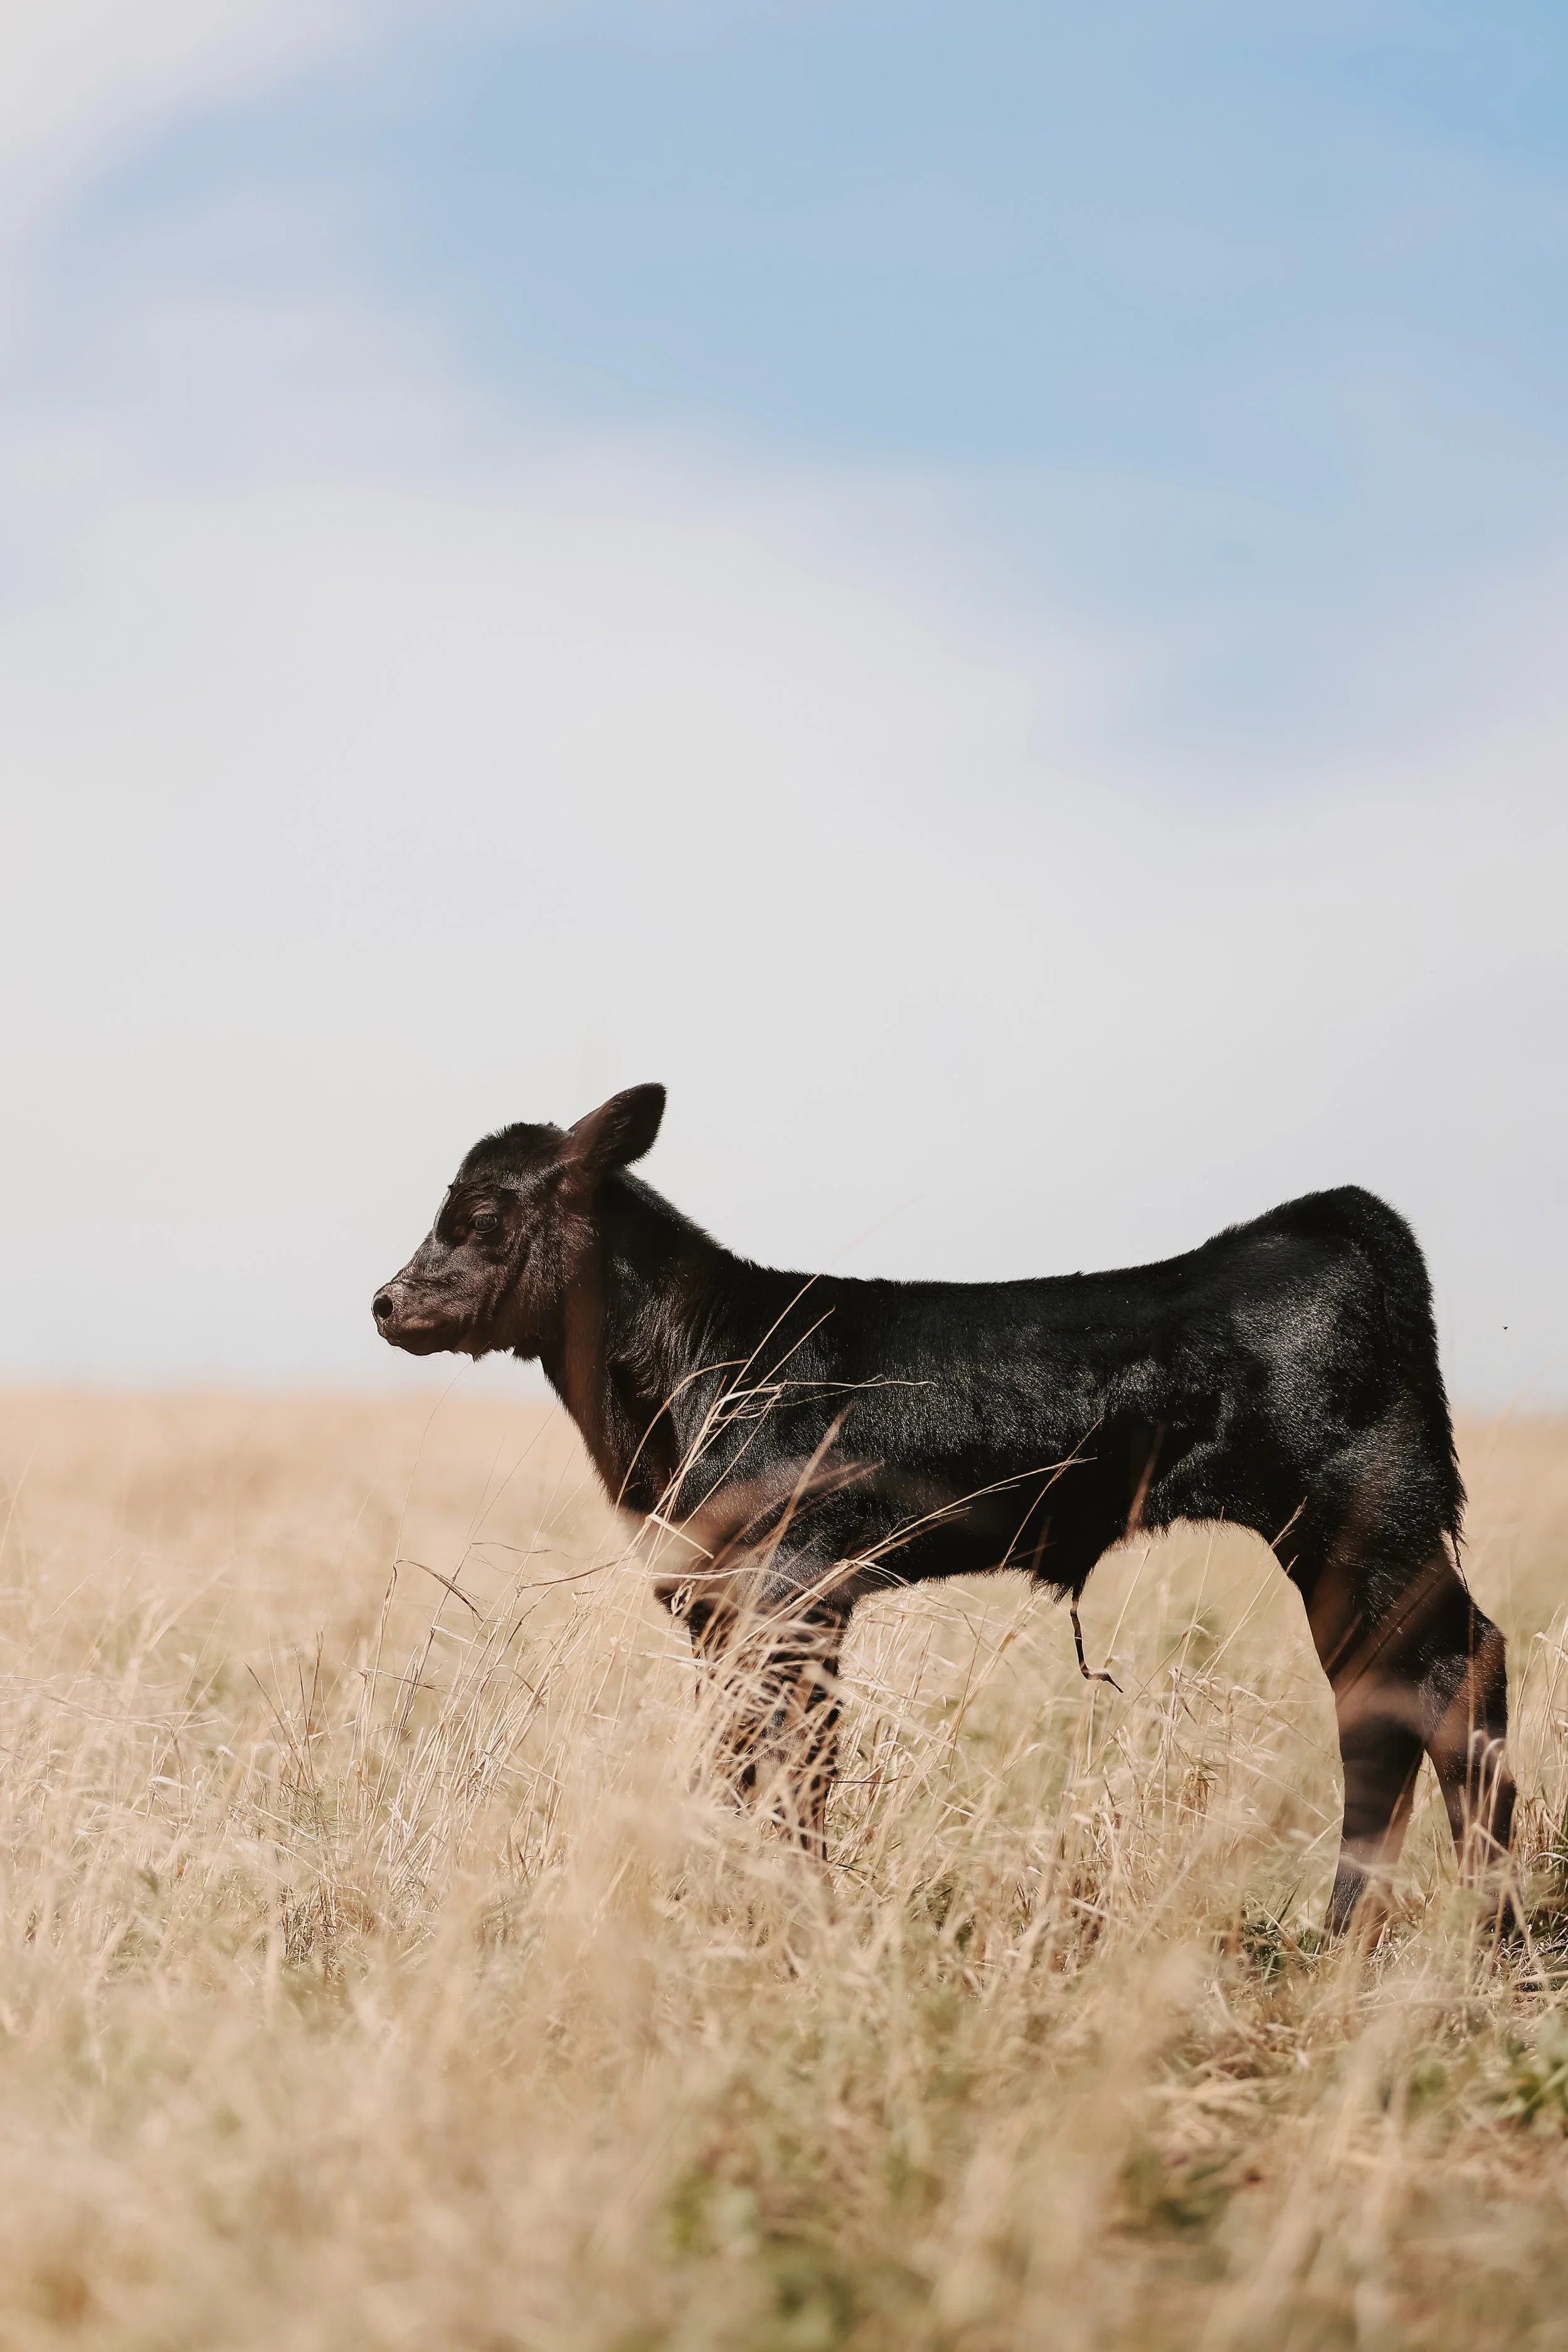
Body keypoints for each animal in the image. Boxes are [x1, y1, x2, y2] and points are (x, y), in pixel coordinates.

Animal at [373, 1083, 1514, 1929]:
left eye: (482, 1220)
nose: (386, 1303)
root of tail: (1328, 1219)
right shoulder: (717, 1604)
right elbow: (738, 1763)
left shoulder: (794, 1588)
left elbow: (794, 1770)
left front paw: (799, 1920)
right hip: (1335, 1548)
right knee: (1377, 1700)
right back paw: (1349, 1944)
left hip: (1373, 1518)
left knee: (1452, 1673)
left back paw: (1493, 1945)